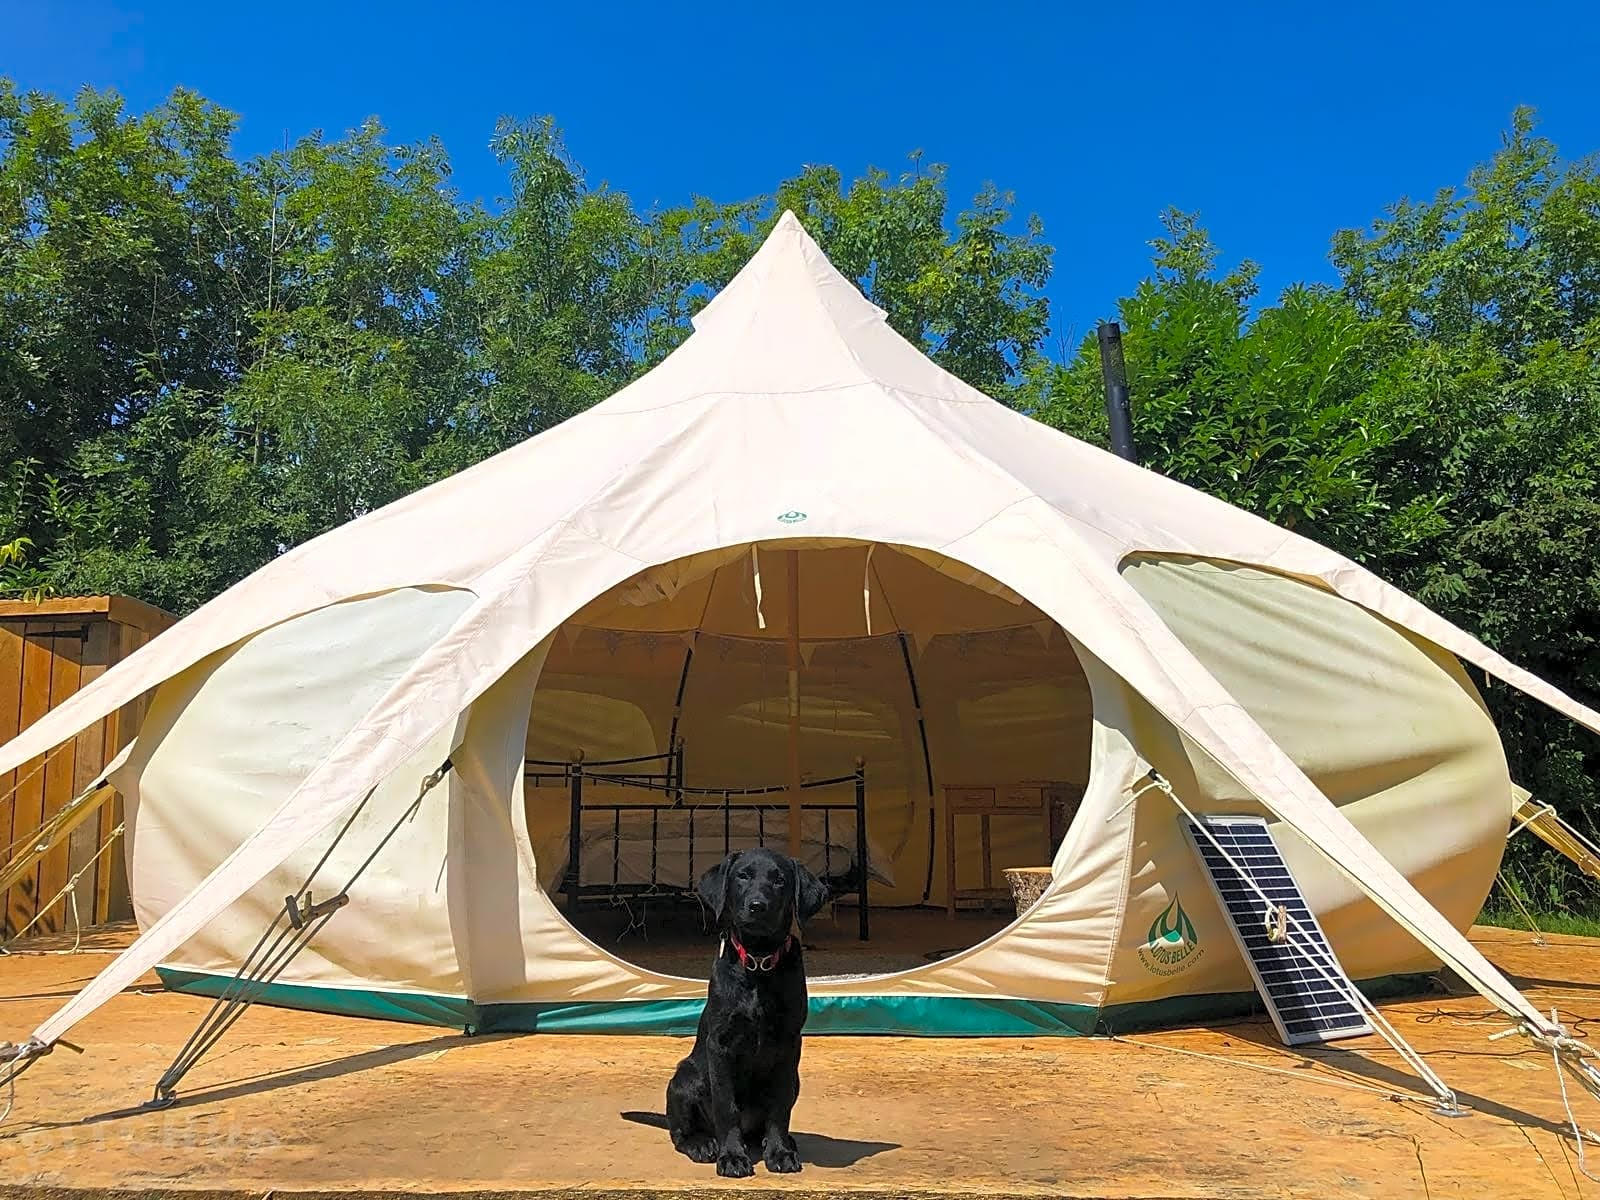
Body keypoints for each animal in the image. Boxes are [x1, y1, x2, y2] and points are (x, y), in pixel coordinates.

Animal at [668, 851, 832, 1177]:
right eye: (742, 876)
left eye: (779, 880)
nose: (758, 906)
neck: (759, 960)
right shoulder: (720, 1045)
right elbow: (726, 1106)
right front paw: (732, 1157)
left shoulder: (789, 1045)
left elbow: (779, 1108)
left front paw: (780, 1152)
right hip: (684, 1077)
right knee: (680, 1132)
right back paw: (702, 1143)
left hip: (795, 1080)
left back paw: (779, 1142)